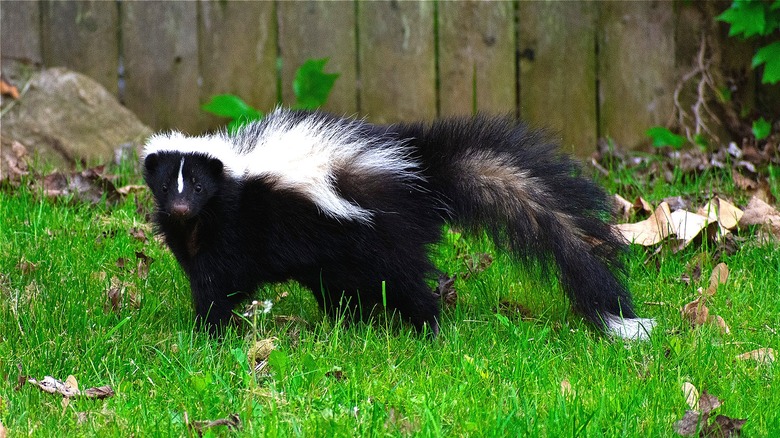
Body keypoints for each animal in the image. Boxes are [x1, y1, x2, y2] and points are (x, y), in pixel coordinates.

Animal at [143, 108, 656, 340]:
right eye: (169, 186)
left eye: (198, 187)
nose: (181, 208)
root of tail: (423, 177)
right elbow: (205, 277)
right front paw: (206, 329)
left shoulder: (234, 230)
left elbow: (219, 283)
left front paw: (207, 332)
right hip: (345, 258)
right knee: (345, 289)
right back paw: (351, 324)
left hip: (381, 241)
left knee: (408, 284)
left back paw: (429, 330)